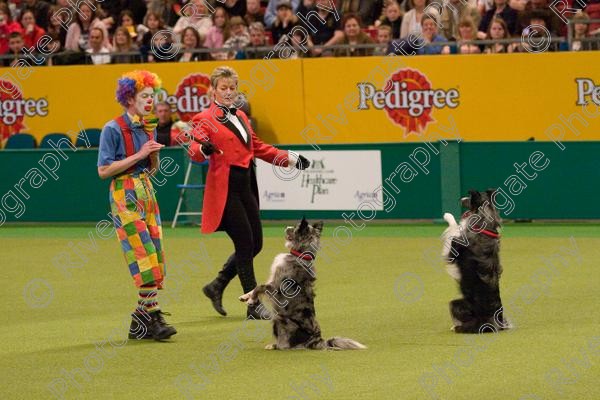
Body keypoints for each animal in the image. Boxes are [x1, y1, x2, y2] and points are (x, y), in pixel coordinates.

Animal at [239, 219, 366, 350]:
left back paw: (276, 346)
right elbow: (255, 287)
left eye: (295, 228)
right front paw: (245, 296)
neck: (299, 254)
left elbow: (259, 287)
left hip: (280, 319)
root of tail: (317, 340)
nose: (286, 227)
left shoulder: (275, 286)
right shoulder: (272, 280)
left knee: (286, 345)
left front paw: (252, 300)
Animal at [440, 189, 510, 332]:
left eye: (469, 198)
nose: (460, 199)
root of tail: (490, 324)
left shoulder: (452, 252)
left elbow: (455, 228)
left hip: (456, 304)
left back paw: (455, 327)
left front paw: (448, 216)